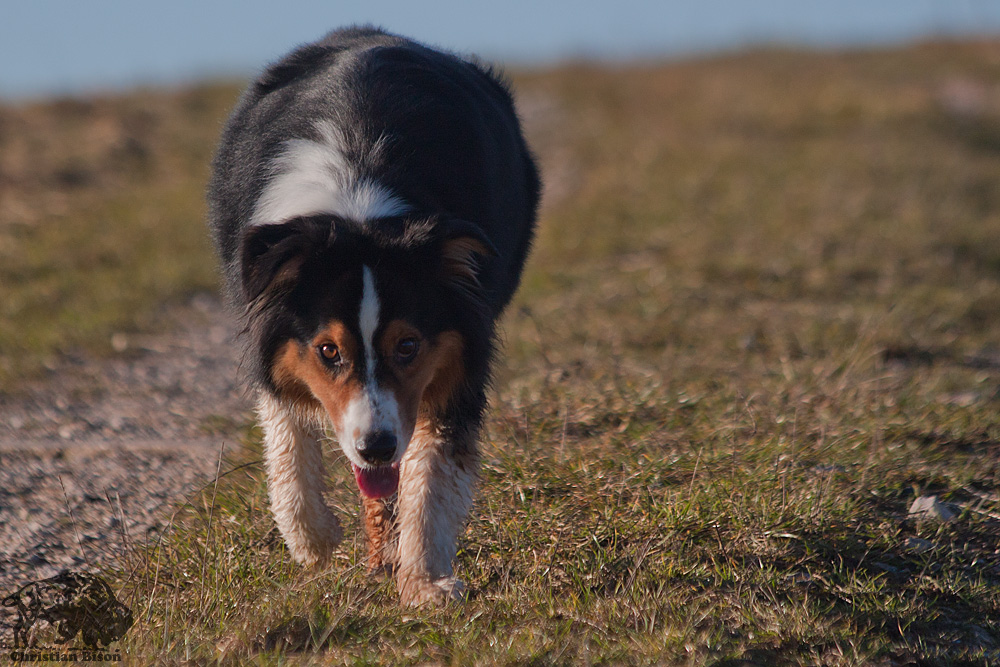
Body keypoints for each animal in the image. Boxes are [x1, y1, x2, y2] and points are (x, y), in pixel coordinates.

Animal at [207, 27, 544, 604]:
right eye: (328, 350)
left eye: (407, 346)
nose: (377, 447)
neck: (357, 206)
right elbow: (286, 432)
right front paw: (313, 539)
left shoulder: (460, 354)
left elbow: (432, 473)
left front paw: (425, 581)